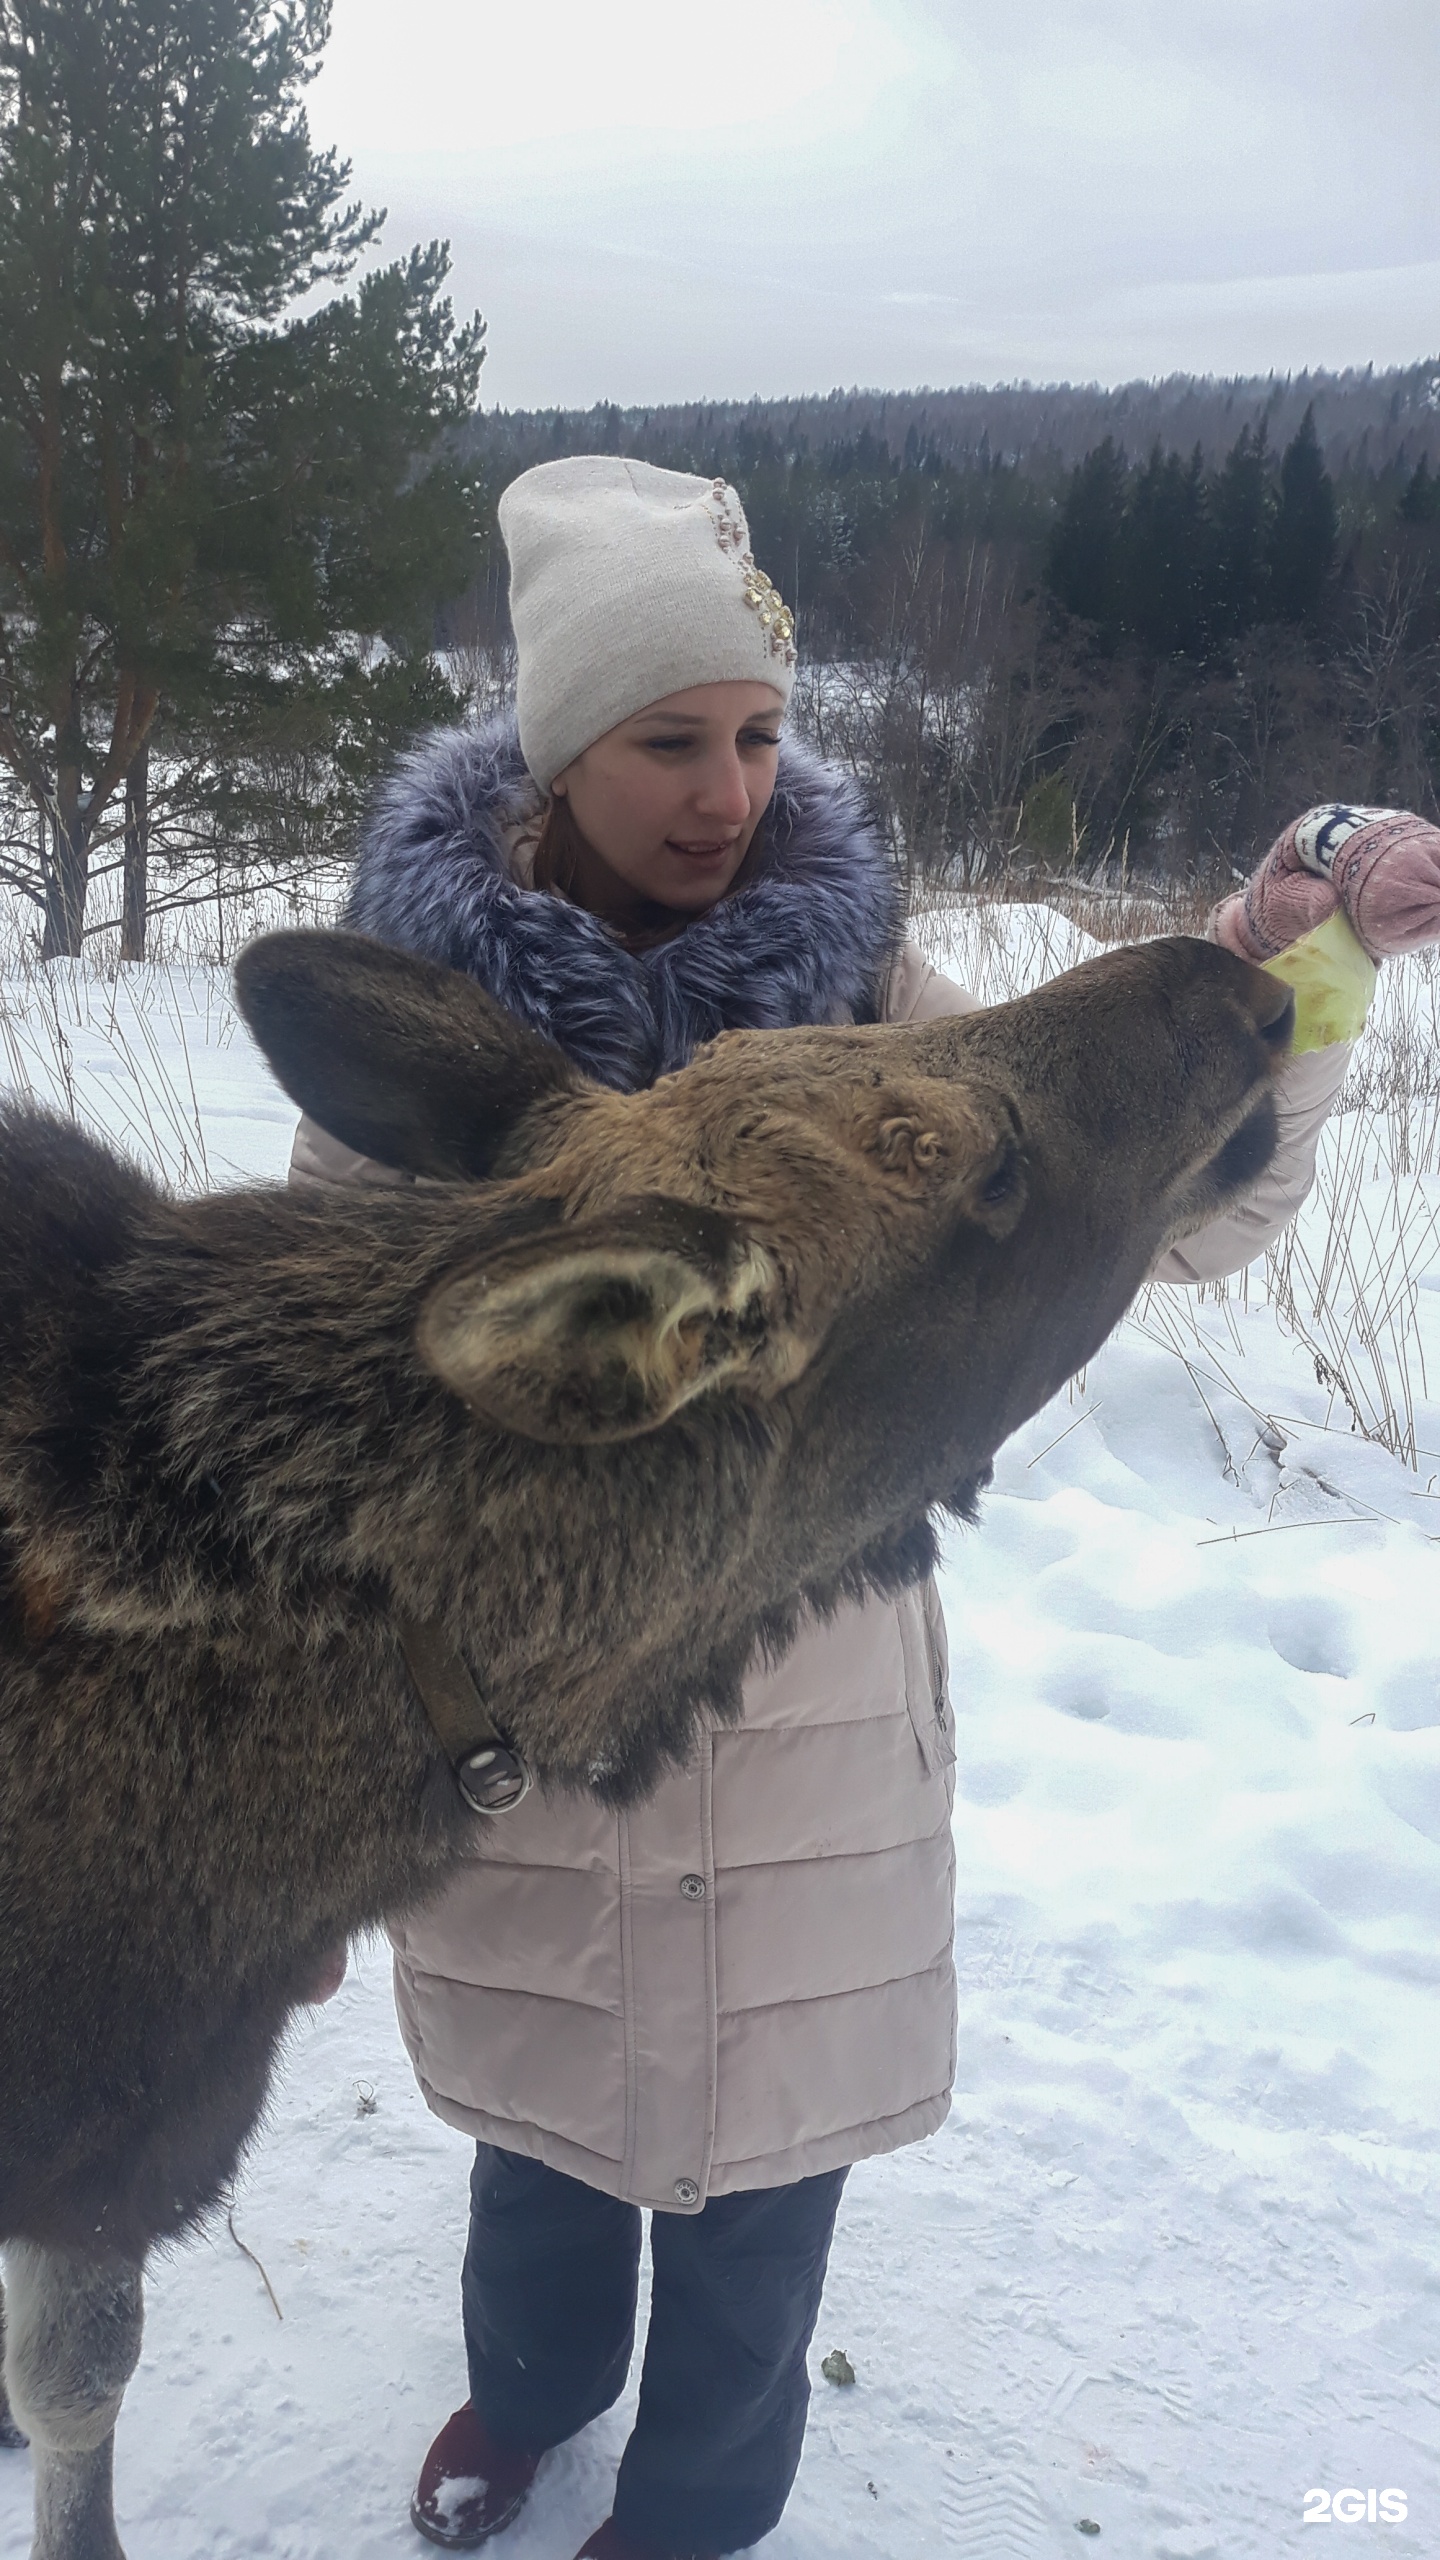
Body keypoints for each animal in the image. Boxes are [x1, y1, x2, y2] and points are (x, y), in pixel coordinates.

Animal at [0, 926, 1291, 2560]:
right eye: (984, 1177)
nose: (1239, 985)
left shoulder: (118, 2138)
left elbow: (74, 2380)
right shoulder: (119, 2138)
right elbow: (82, 2390)